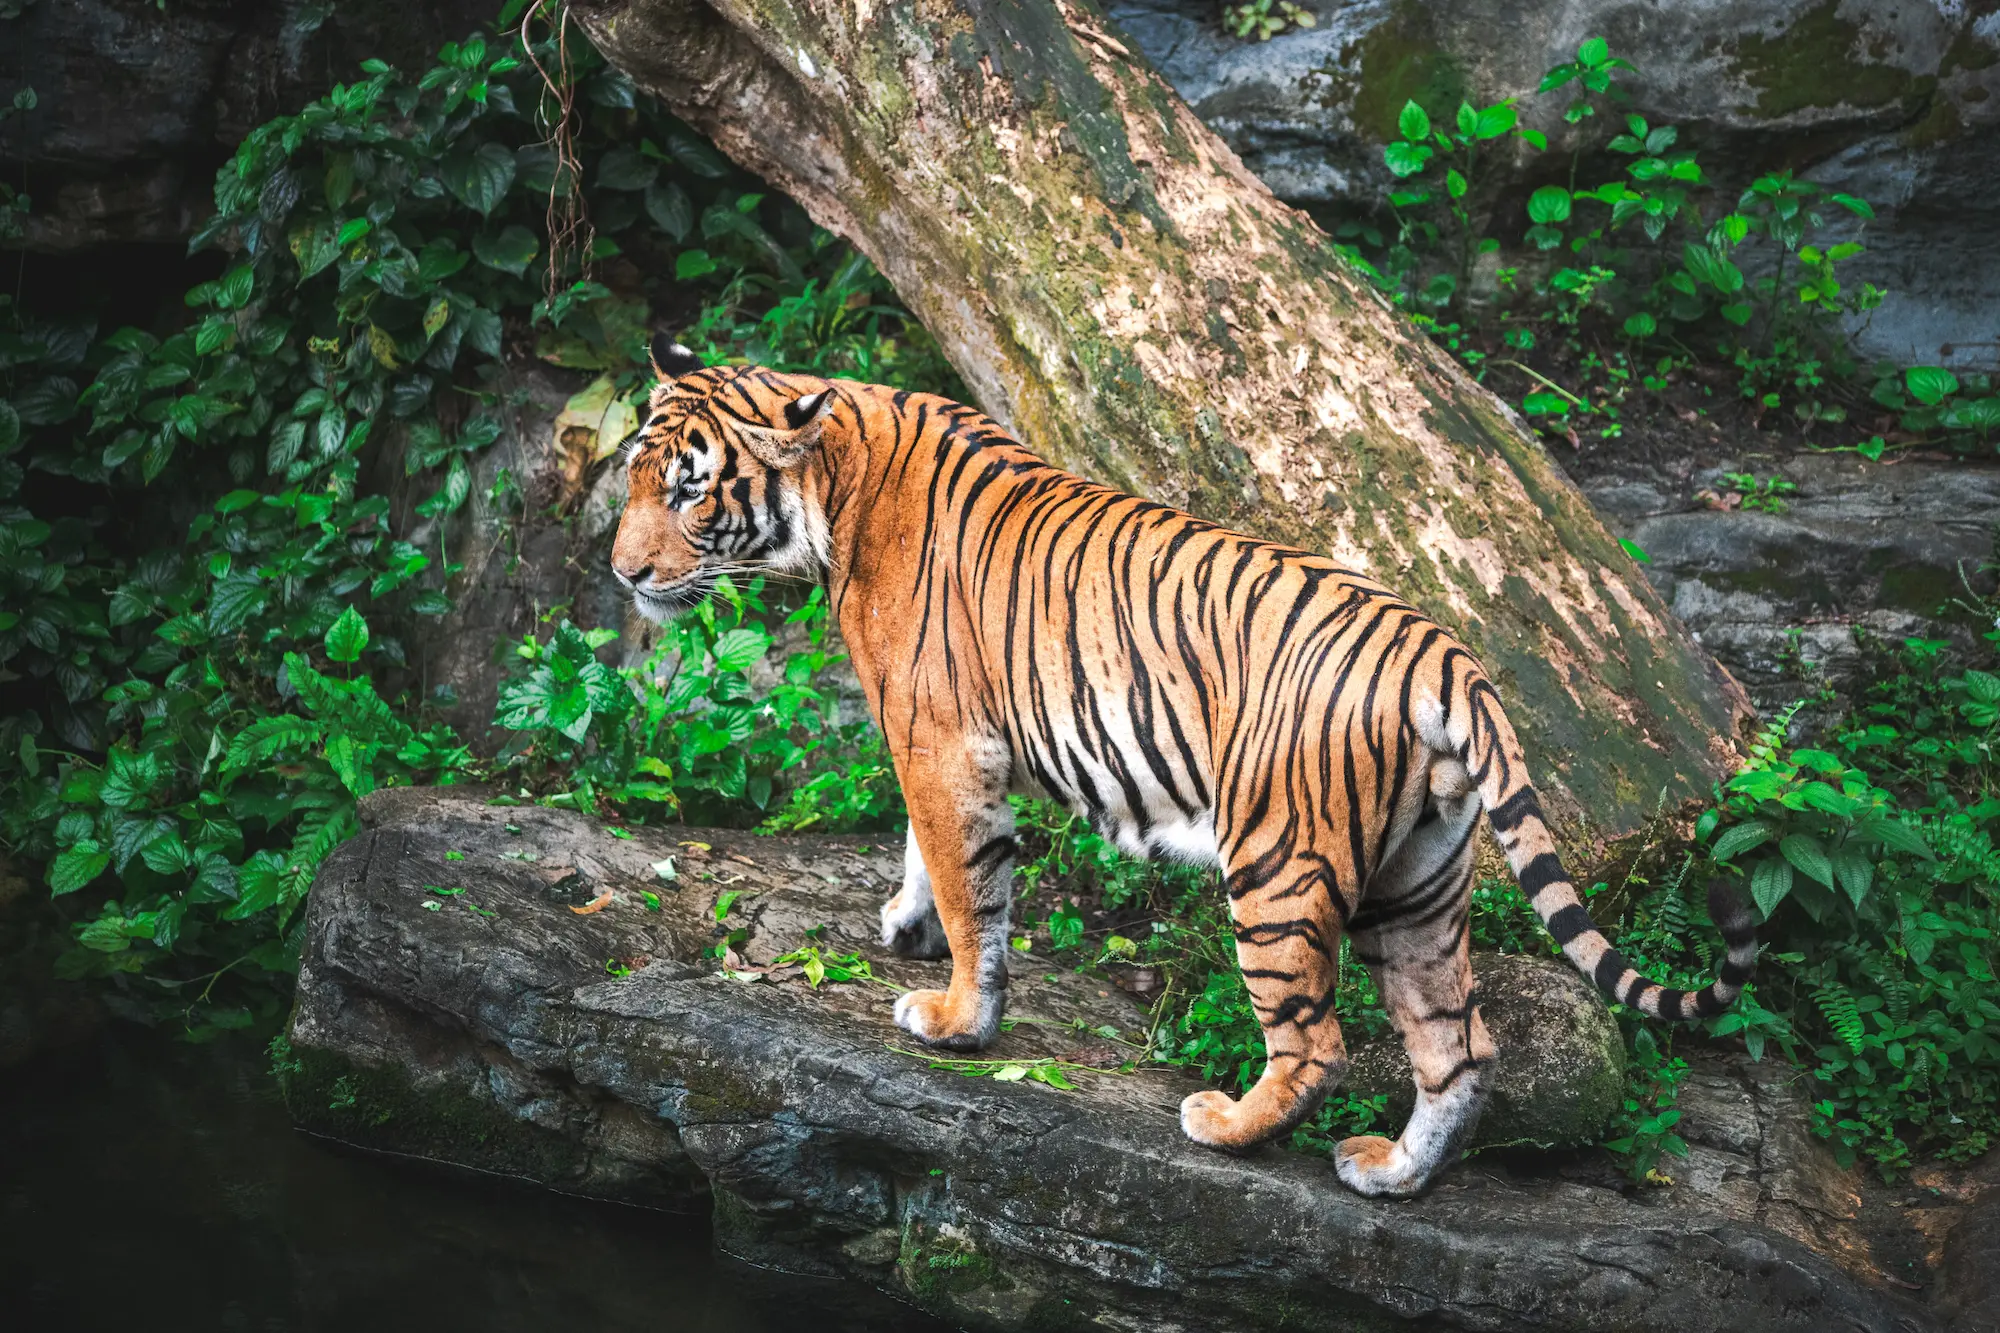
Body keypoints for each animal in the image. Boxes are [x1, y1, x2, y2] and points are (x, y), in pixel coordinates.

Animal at [610, 336, 1757, 1198]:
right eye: (633, 479)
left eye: (692, 493)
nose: (620, 573)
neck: (835, 481)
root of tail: (1445, 659)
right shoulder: (937, 734)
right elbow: (926, 852)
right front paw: (905, 924)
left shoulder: (938, 735)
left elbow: (971, 884)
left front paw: (954, 1017)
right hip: (1420, 886)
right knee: (1458, 1048)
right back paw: (1389, 1173)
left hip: (1278, 866)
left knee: (1316, 1044)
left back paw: (1222, 1125)